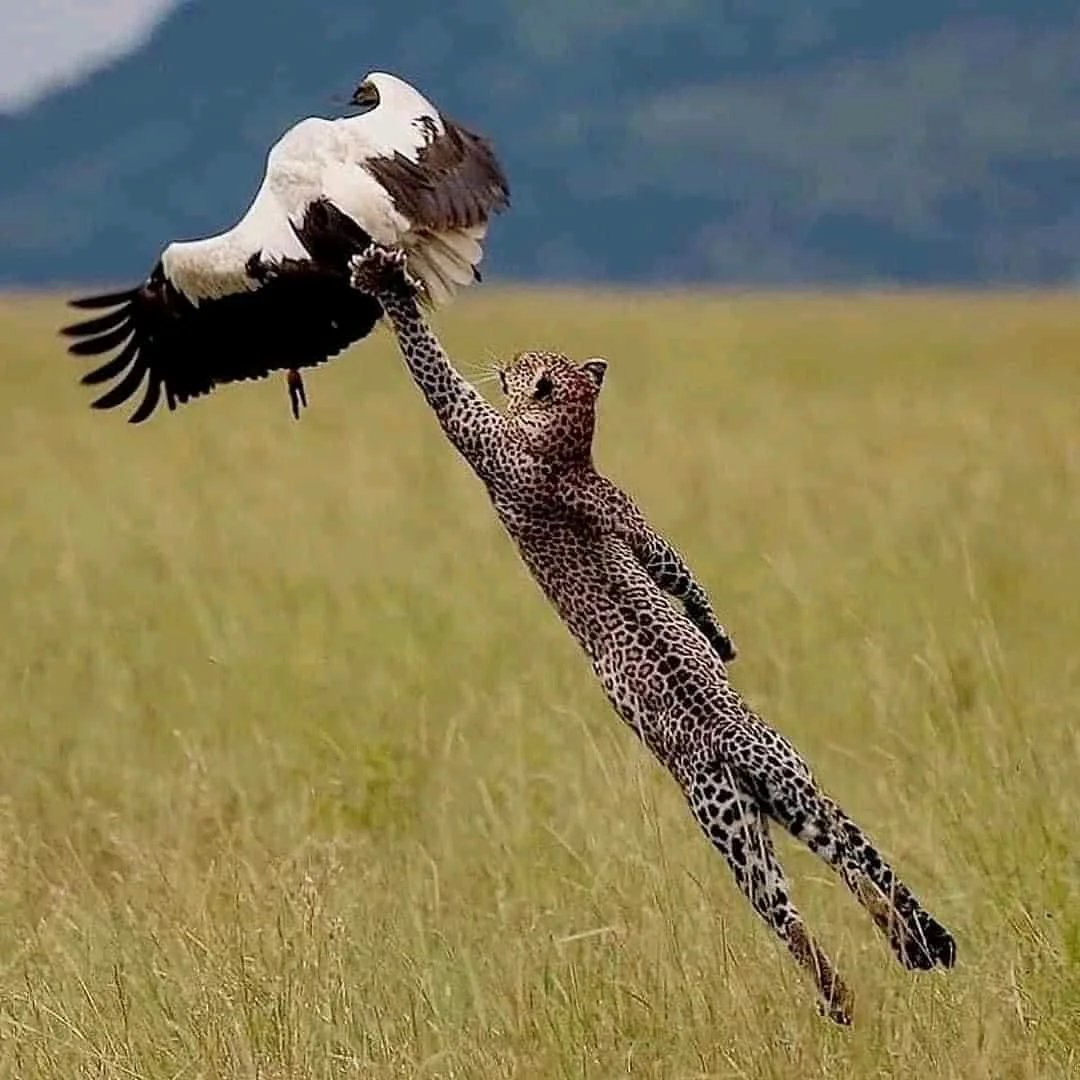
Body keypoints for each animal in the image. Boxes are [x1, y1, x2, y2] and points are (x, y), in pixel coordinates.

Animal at [349, 243, 956, 1025]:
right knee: (859, 865)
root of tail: (741, 745)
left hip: (726, 825)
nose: (506, 359)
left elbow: (435, 373)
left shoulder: (479, 434)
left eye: (524, 363)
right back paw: (906, 946)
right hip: (793, 797)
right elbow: (672, 565)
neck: (567, 445)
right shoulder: (628, 513)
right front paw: (720, 641)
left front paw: (389, 285)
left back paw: (842, 999)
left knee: (794, 919)